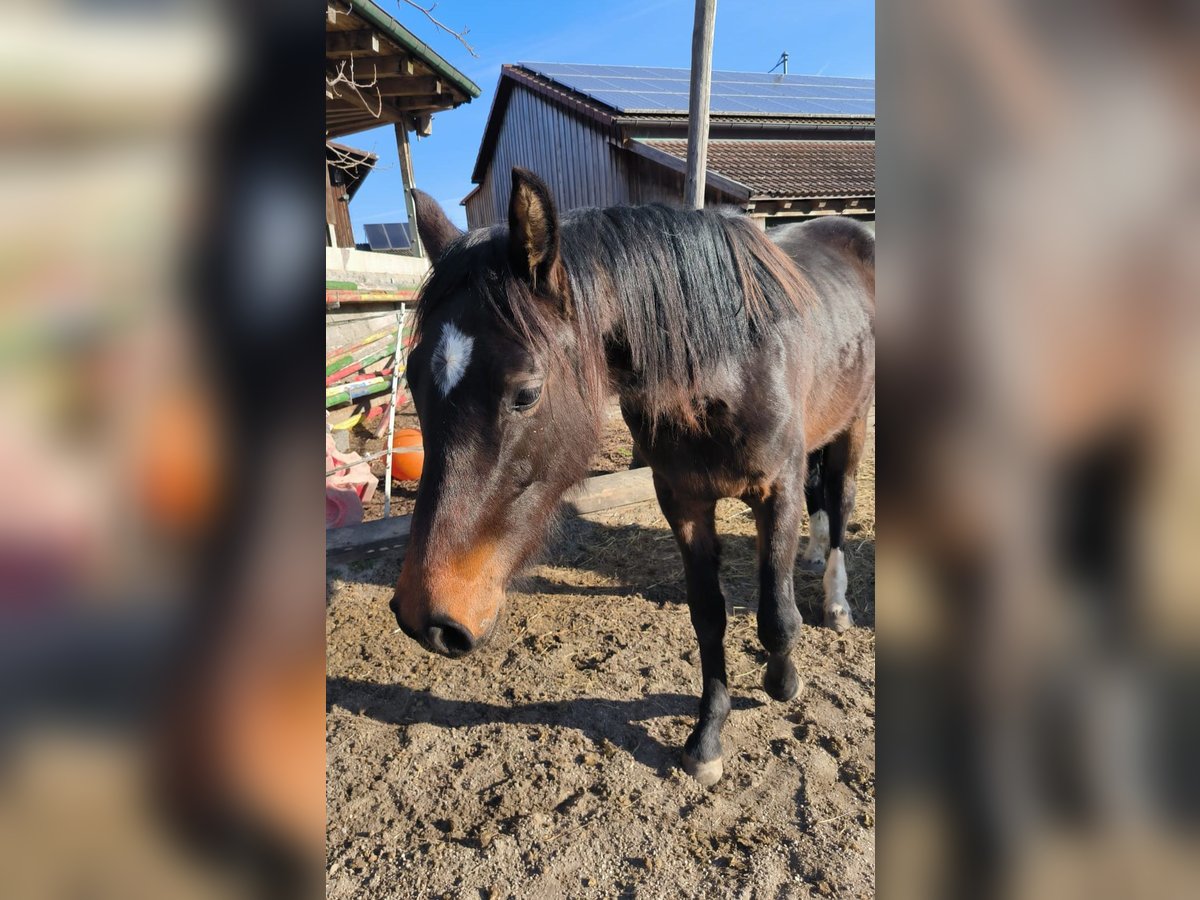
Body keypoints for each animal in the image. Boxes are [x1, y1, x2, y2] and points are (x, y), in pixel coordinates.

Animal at [390, 168, 874, 785]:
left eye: (525, 393)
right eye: (413, 381)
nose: (425, 618)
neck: (730, 364)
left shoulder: (778, 490)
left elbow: (776, 619)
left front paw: (783, 681)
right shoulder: (682, 500)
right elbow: (708, 617)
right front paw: (707, 737)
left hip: (854, 424)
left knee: (840, 501)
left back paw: (836, 603)